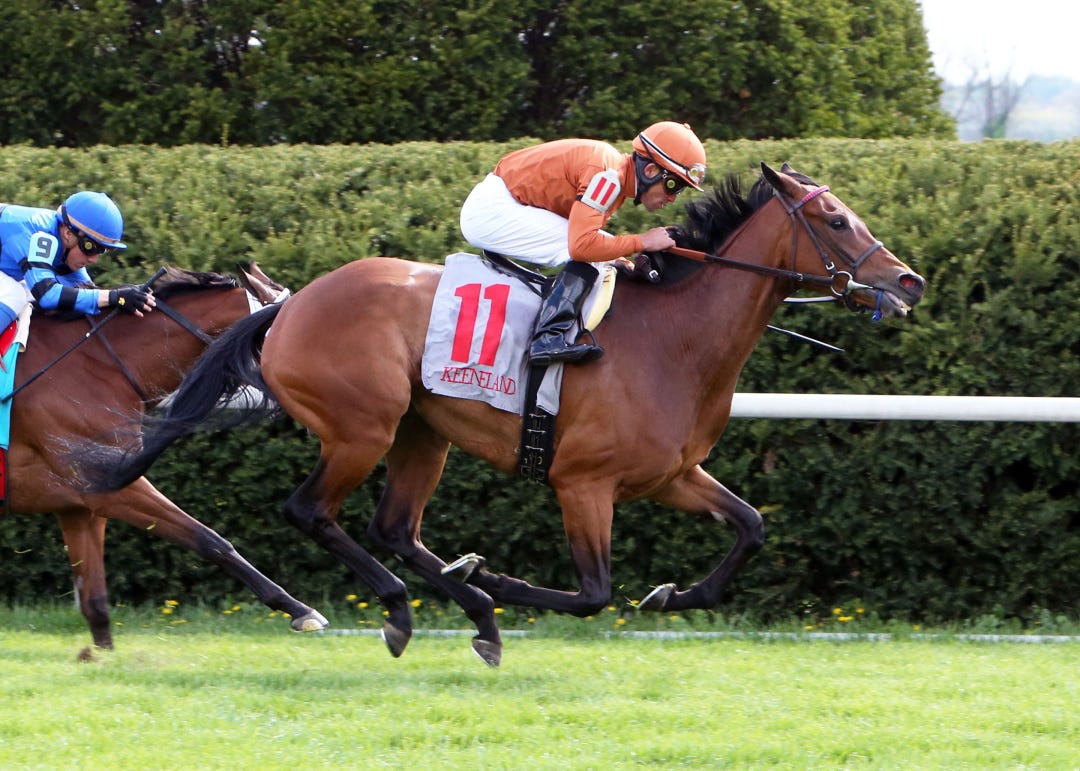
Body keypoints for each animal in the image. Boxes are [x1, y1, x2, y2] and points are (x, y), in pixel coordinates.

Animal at [6, 263, 327, 659]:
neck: (97, 366)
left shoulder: (80, 506)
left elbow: (94, 600)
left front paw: (101, 656)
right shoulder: (110, 487)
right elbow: (209, 539)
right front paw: (301, 610)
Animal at [81, 164, 925, 667]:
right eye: (837, 219)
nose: (908, 281)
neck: (674, 337)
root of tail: (287, 305)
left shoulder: (673, 473)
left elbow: (749, 529)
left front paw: (670, 595)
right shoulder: (583, 482)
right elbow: (592, 592)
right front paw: (492, 576)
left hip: (422, 431)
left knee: (395, 526)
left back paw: (469, 611)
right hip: (363, 426)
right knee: (311, 509)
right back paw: (409, 607)